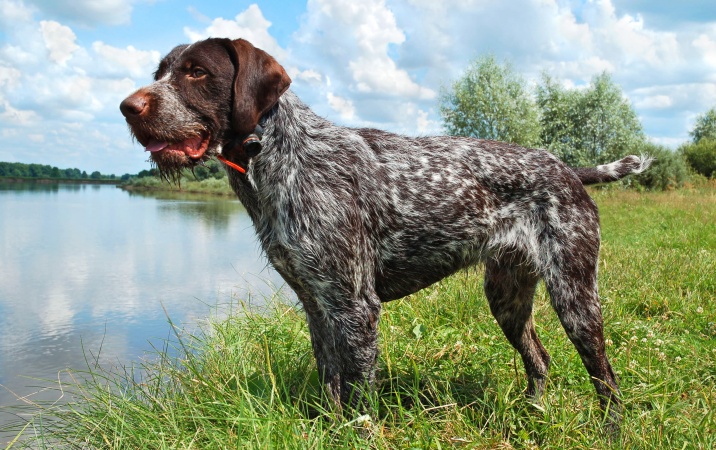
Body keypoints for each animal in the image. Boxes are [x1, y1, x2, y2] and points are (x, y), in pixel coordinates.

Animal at [120, 37, 652, 428]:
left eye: (197, 72)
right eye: (160, 72)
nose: (128, 106)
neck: (277, 157)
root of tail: (567, 170)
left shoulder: (355, 307)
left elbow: (358, 397)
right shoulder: (318, 306)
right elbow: (330, 384)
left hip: (575, 296)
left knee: (606, 378)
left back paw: (611, 430)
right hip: (507, 296)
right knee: (539, 359)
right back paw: (534, 414)